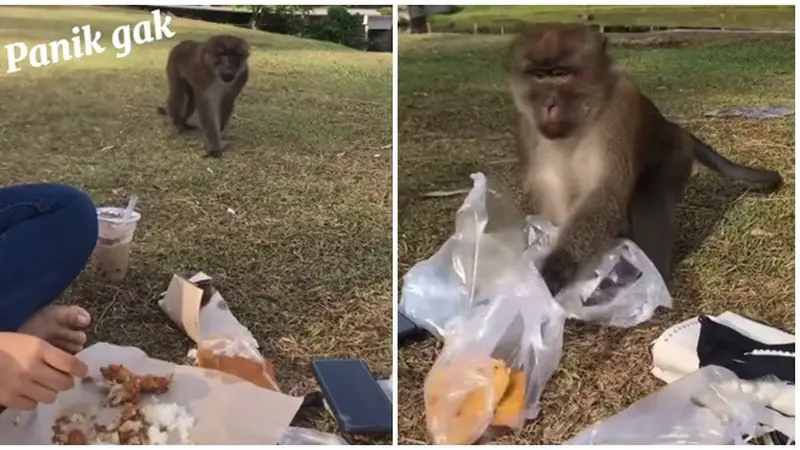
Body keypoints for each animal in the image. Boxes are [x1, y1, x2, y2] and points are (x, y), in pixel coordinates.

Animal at [506, 24, 780, 298]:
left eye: (560, 74)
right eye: (539, 75)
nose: (547, 104)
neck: (582, 119)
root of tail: (674, 128)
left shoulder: (620, 106)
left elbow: (608, 192)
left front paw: (555, 268)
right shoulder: (527, 123)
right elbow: (551, 187)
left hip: (674, 157)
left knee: (652, 196)